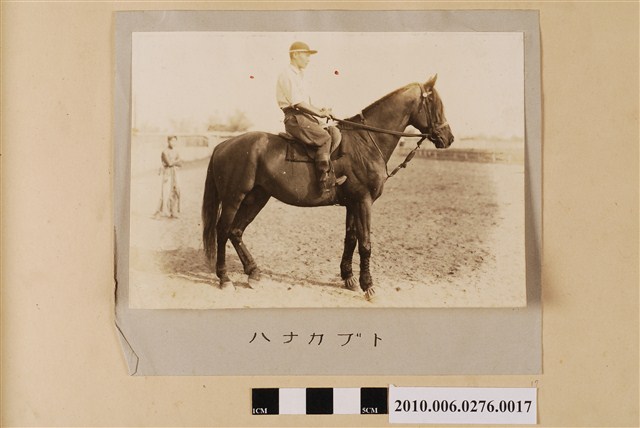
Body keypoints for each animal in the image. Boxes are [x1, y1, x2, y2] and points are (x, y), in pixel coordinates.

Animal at [202, 74, 454, 301]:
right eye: (435, 104)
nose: (448, 138)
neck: (365, 142)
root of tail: (223, 145)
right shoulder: (364, 201)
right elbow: (365, 243)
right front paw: (368, 286)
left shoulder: (353, 203)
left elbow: (350, 238)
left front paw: (349, 278)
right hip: (234, 198)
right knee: (223, 231)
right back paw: (225, 279)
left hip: (257, 198)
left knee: (236, 232)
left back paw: (254, 273)